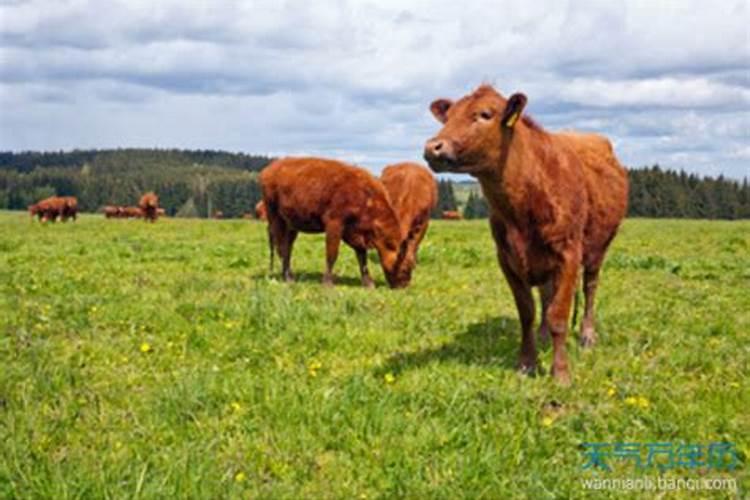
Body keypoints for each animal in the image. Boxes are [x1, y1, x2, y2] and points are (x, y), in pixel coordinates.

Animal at [262, 156, 418, 290]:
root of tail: (269, 170)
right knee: (281, 247)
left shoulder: (354, 233)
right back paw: (288, 278)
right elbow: (332, 254)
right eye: (405, 268)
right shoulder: (334, 224)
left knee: (287, 247)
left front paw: (368, 283)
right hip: (276, 218)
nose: (404, 286)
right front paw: (328, 283)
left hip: (292, 225)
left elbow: (362, 257)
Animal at [426, 85, 632, 382]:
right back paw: (544, 336)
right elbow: (527, 312)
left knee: (590, 287)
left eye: (484, 114)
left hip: (598, 248)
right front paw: (527, 364)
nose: (433, 147)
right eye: (448, 116)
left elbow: (559, 315)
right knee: (546, 294)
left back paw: (587, 336)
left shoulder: (569, 254)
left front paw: (560, 372)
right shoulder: (506, 258)